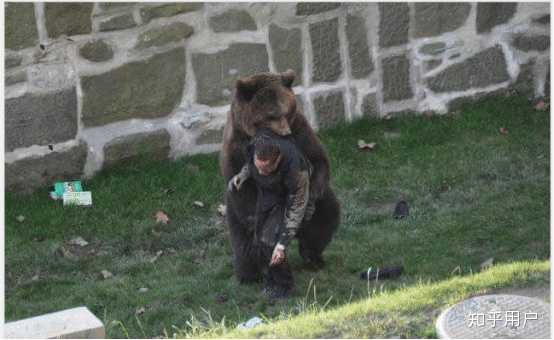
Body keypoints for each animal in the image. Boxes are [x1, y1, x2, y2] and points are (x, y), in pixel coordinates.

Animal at [218, 70, 338, 298]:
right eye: (270, 115)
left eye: (286, 110)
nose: (285, 132)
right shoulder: (236, 146)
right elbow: (243, 187)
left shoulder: (300, 128)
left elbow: (318, 158)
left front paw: (310, 202)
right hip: (234, 217)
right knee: (243, 243)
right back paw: (249, 274)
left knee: (326, 214)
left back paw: (312, 256)